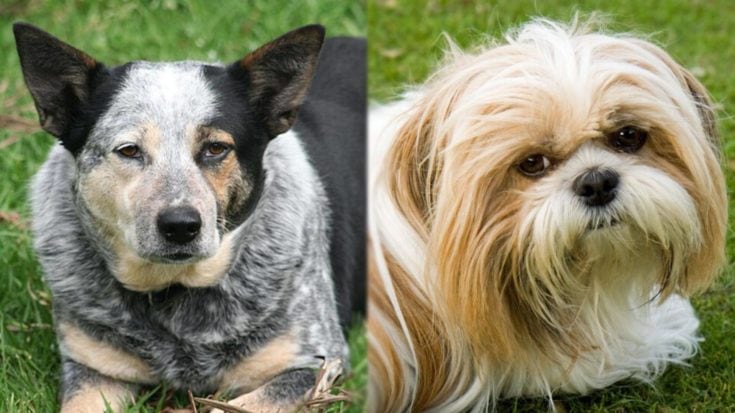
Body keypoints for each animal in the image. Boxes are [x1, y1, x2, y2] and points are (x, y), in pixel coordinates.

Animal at [12, 20, 366, 412]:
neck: (173, 291)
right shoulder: (92, 370)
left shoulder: (315, 366)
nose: (180, 226)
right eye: (129, 150)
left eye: (215, 148)